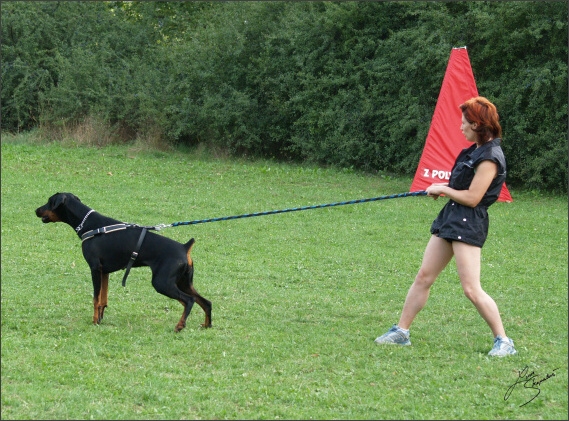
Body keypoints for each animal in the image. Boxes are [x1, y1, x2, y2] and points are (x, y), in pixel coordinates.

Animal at [36, 191, 213, 332]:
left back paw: (180, 326)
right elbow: (103, 299)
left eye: (49, 201)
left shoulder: (95, 268)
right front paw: (100, 319)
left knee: (189, 300)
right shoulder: (104, 271)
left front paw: (94, 321)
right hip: (183, 282)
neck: (88, 224)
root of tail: (185, 247)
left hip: (162, 282)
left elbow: (95, 298)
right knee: (206, 302)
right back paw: (207, 325)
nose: (36, 210)